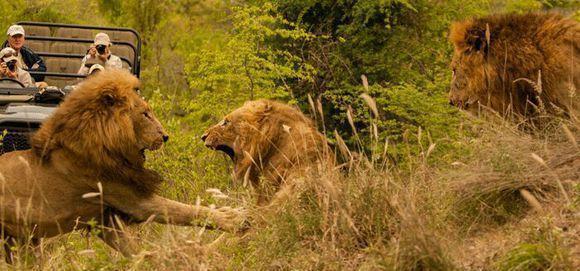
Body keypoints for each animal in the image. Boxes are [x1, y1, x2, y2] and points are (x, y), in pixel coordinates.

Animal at [0, 69, 246, 264]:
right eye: (145, 114)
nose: (165, 136)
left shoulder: (104, 219)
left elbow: (136, 250)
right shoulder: (132, 199)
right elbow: (183, 210)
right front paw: (235, 219)